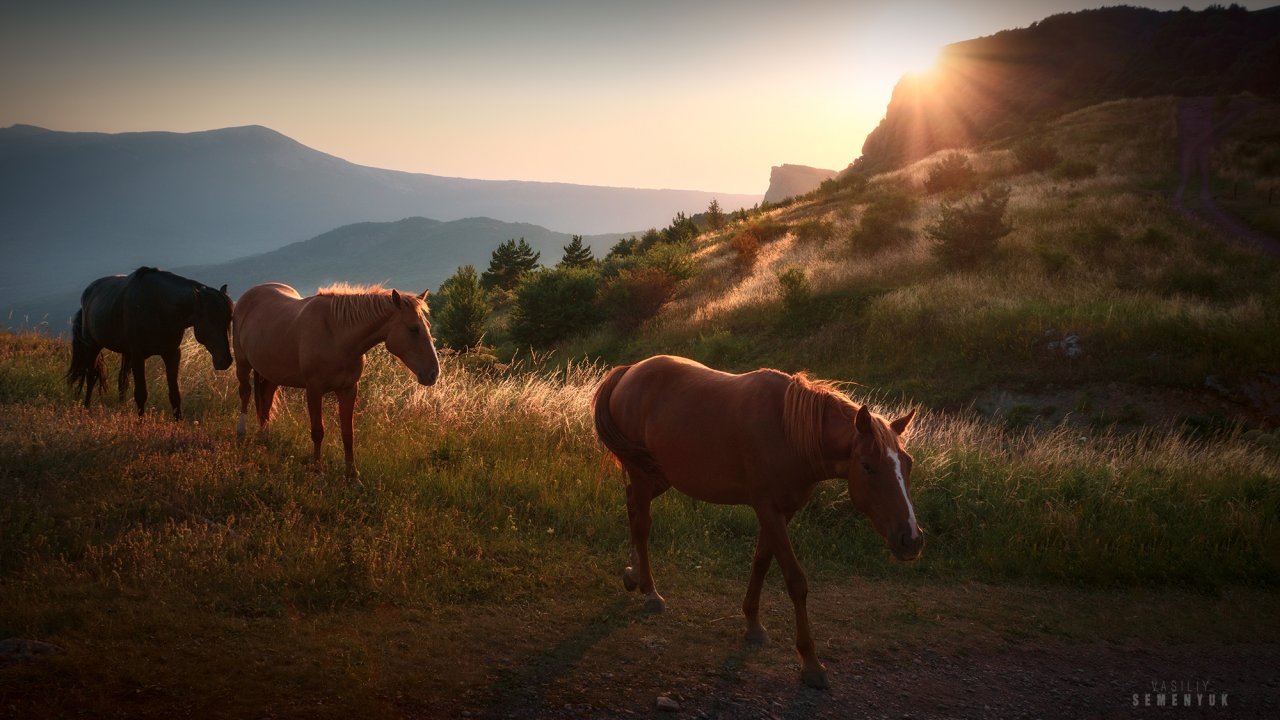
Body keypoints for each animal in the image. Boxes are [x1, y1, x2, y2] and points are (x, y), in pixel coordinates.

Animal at [66, 266, 235, 417]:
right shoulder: (138, 356)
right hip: (92, 346)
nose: (225, 360)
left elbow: (175, 394)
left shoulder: (172, 354)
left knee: (122, 380)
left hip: (126, 353)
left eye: (228, 320)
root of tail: (87, 294)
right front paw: (140, 425)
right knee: (91, 377)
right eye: (211, 320)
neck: (158, 306)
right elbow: (141, 394)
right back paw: (86, 409)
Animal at [234, 281, 440, 476]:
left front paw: (353, 476)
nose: (433, 373)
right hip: (243, 363)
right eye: (413, 329)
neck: (336, 335)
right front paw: (318, 473)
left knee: (266, 402)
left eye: (428, 327)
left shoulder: (348, 390)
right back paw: (241, 433)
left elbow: (348, 434)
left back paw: (265, 439)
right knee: (245, 393)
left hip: (271, 374)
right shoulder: (314, 390)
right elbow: (318, 431)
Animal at [588, 356, 921, 686]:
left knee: (633, 507)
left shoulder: (783, 511)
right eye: (867, 466)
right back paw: (650, 592)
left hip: (659, 475)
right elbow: (795, 580)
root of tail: (629, 371)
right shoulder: (767, 508)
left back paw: (633, 574)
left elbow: (761, 562)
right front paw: (811, 662)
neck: (788, 432)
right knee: (642, 524)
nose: (912, 539)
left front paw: (753, 624)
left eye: (908, 463)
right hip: (642, 472)